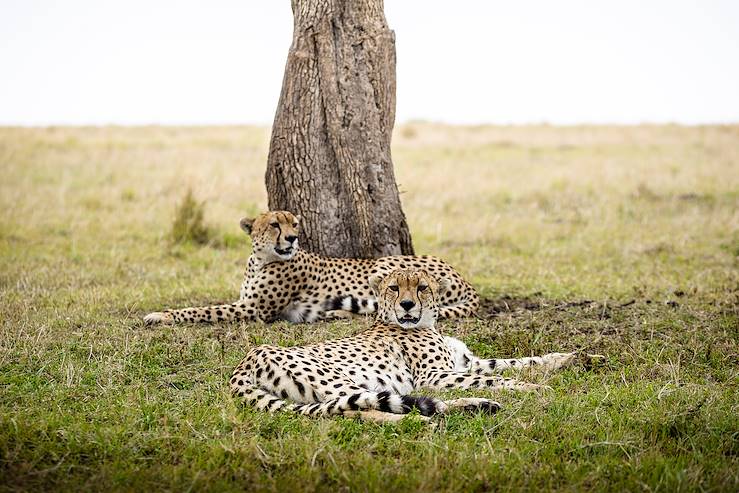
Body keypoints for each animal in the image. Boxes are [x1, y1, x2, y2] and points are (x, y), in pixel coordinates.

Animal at [145, 209, 480, 324]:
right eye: (274, 224)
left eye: (294, 224)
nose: (292, 238)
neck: (261, 259)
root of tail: (464, 278)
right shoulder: (246, 302)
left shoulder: (253, 310)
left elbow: (201, 310)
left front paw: (161, 316)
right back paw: (333, 313)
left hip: (384, 264)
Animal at [228, 268, 588, 420]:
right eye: (393, 287)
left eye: (422, 287)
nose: (406, 305)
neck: (428, 323)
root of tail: (248, 359)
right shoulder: (434, 376)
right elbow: (495, 377)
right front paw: (536, 388)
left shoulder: (465, 362)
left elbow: (514, 362)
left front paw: (570, 357)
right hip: (342, 381)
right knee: (361, 410)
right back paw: (425, 420)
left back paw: (474, 407)